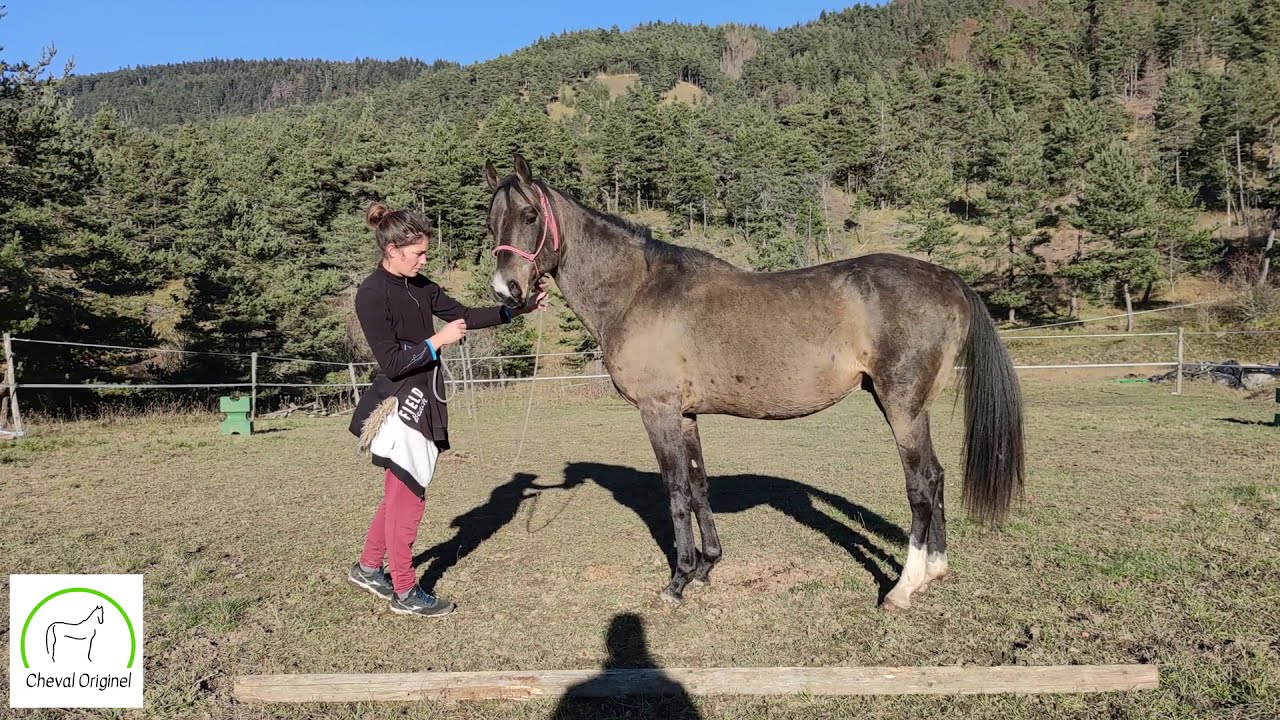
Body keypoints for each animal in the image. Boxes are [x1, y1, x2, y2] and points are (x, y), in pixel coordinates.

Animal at [482, 153, 1025, 610]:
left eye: (529, 216)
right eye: (491, 222)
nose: (507, 291)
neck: (638, 290)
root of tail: (947, 278)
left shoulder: (658, 411)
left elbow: (675, 490)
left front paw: (678, 581)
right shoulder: (686, 415)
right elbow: (698, 486)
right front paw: (706, 568)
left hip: (902, 406)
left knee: (921, 483)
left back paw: (903, 588)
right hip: (915, 408)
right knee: (937, 478)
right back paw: (935, 571)